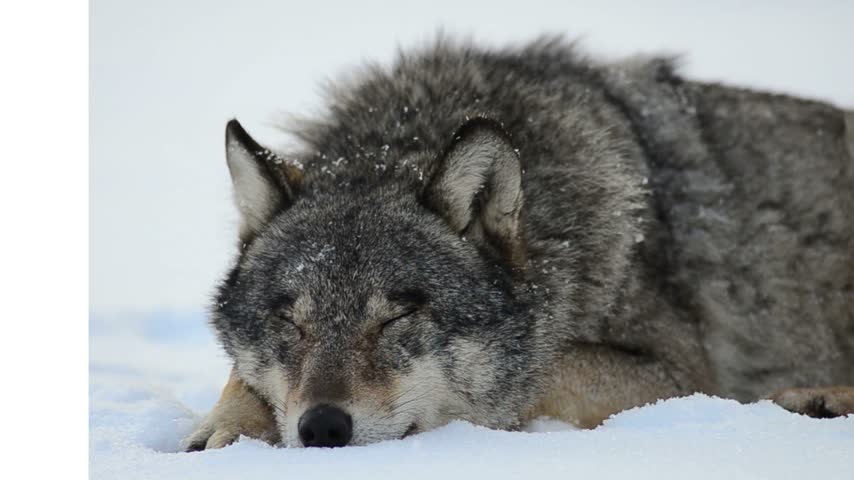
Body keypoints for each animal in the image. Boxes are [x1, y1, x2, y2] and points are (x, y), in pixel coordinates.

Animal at [184, 37, 854, 451]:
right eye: (291, 323)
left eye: (396, 317)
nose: (323, 427)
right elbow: (242, 379)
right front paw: (225, 428)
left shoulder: (680, 372)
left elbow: (535, 372)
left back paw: (813, 400)